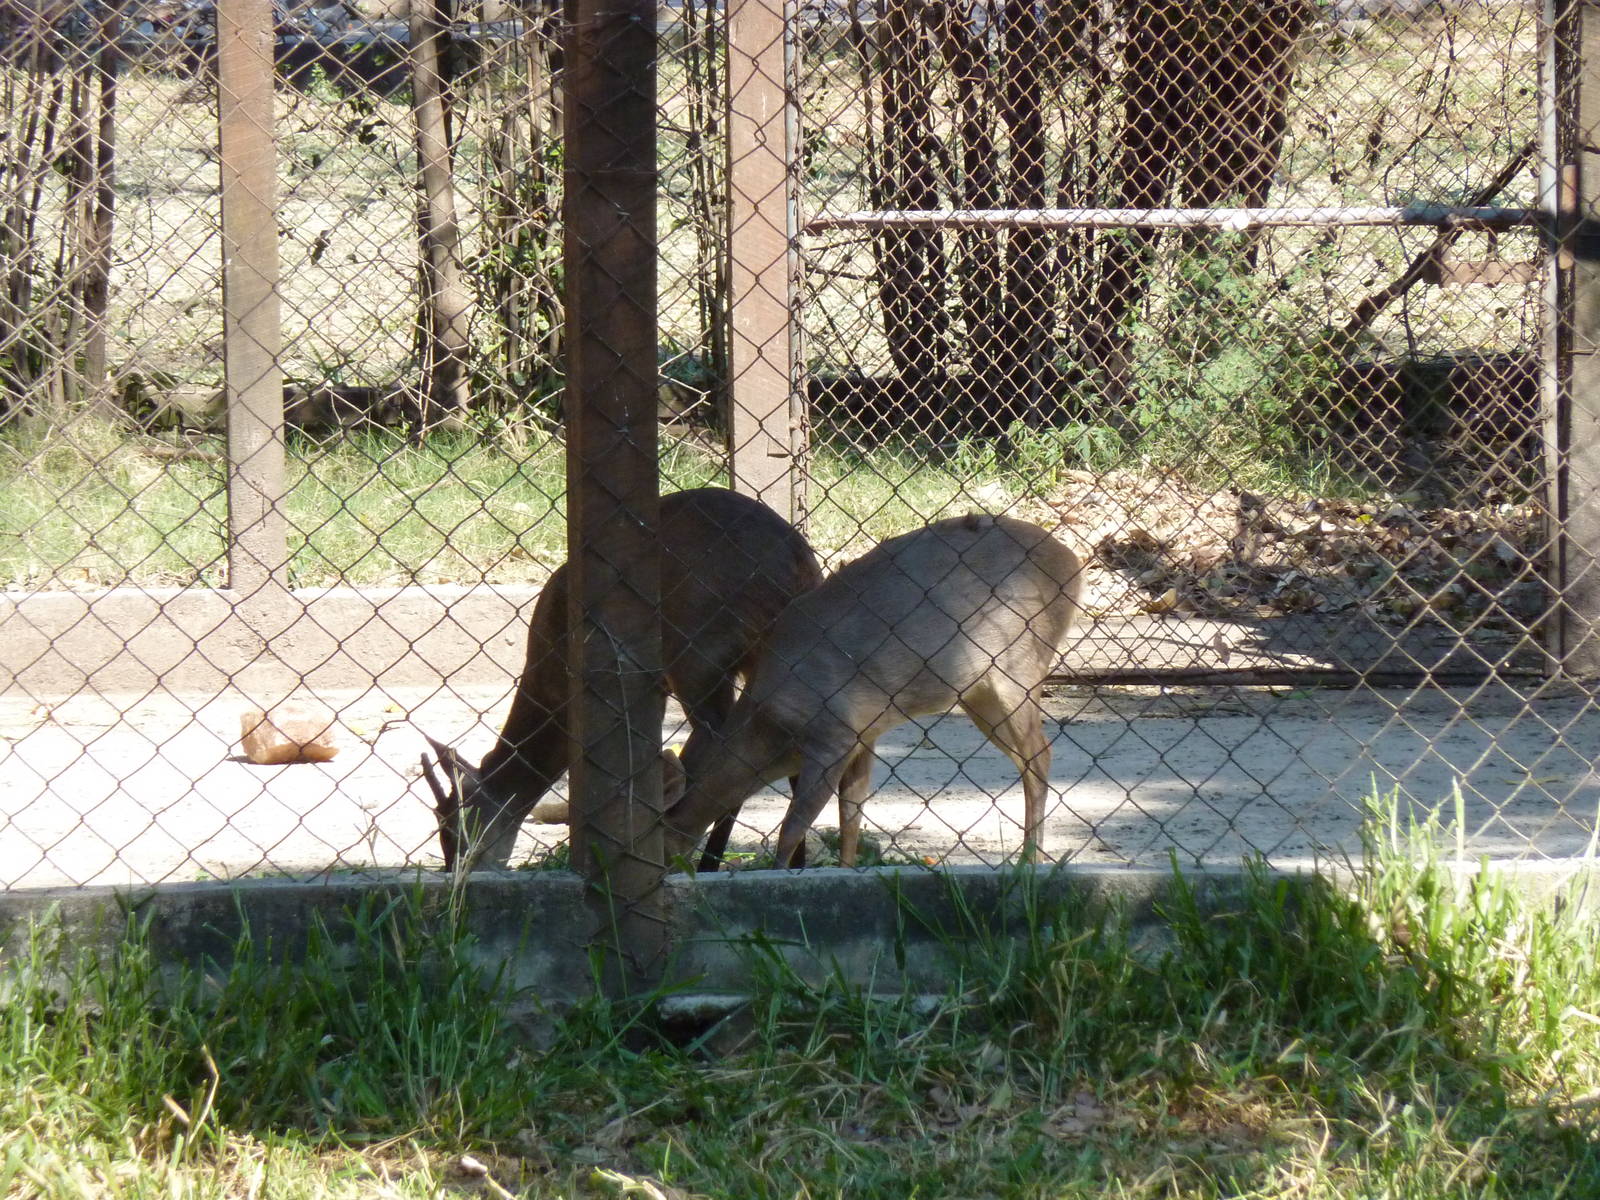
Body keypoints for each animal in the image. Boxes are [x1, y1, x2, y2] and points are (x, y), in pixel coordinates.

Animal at [421, 487, 823, 873]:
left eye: (455, 825)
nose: (457, 871)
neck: (550, 690)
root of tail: (798, 568)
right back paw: (791, 865)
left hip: (700, 650)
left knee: (725, 741)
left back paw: (709, 864)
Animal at [661, 513, 1085, 870]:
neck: (768, 731)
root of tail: (1073, 566)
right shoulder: (864, 734)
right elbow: (851, 814)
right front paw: (846, 872)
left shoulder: (831, 734)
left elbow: (792, 828)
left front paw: (779, 875)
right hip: (979, 692)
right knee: (1028, 759)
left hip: (1019, 664)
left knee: (1039, 756)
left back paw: (1030, 862)